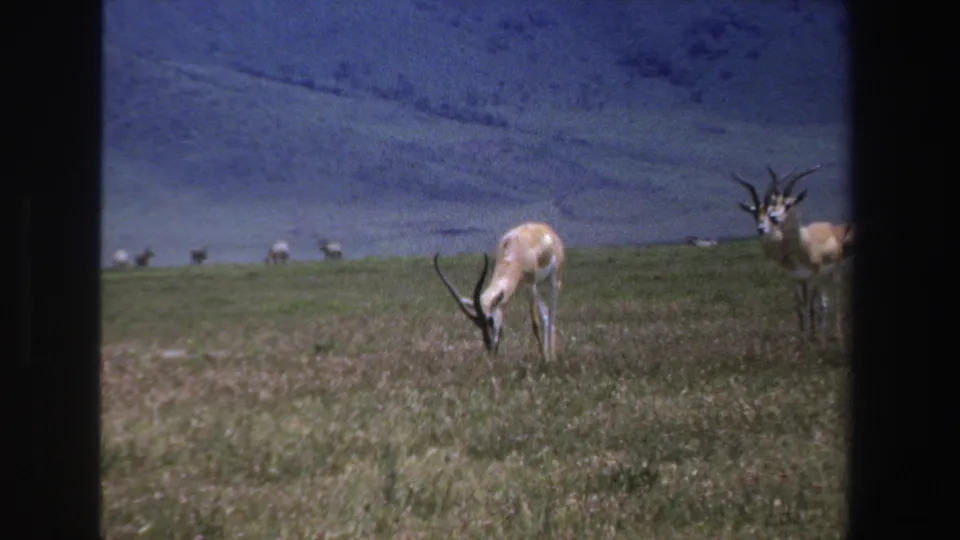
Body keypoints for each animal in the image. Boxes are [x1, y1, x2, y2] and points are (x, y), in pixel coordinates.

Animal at [433, 221, 565, 364]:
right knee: (546, 314)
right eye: (478, 325)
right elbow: (502, 324)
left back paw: (551, 357)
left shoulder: (530, 285)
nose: (490, 347)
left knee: (551, 314)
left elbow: (535, 324)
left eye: (490, 321)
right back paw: (548, 356)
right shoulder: (507, 296)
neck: (516, 248)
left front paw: (543, 359)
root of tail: (548, 230)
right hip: (536, 289)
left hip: (553, 281)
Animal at [732, 165, 854, 344]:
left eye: (789, 204)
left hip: (833, 274)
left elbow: (813, 307)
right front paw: (804, 338)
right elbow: (801, 308)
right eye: (756, 213)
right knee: (823, 303)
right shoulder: (796, 278)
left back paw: (837, 335)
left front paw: (816, 340)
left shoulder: (812, 278)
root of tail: (832, 228)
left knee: (835, 302)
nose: (771, 220)